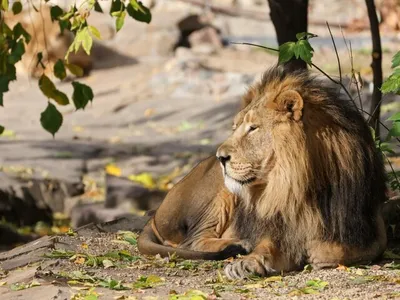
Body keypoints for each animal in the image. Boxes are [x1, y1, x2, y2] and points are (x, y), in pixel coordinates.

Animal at [136, 65, 386, 278]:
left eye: (253, 128)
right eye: (235, 128)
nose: (220, 157)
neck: (293, 184)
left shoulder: (369, 232)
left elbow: (338, 250)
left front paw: (317, 253)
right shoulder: (275, 229)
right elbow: (266, 247)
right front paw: (246, 262)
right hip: (220, 193)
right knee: (192, 241)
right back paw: (240, 245)